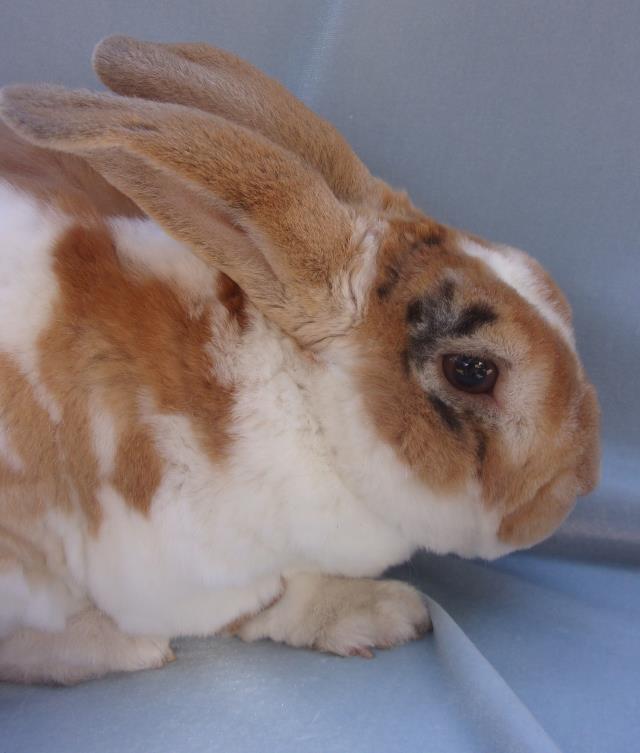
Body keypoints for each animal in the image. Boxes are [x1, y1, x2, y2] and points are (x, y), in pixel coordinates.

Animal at [0, 33, 600, 680]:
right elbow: (271, 601)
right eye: (472, 371)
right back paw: (115, 648)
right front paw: (381, 613)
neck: (301, 402)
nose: (583, 479)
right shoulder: (178, 571)